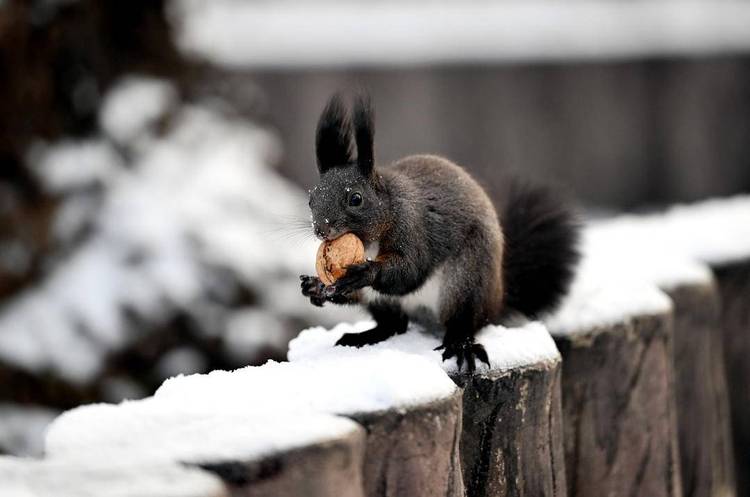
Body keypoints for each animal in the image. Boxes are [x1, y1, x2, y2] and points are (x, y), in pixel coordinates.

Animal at [300, 93, 580, 372]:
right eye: (311, 200)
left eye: (356, 199)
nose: (321, 229)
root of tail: (498, 300)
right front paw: (316, 286)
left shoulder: (412, 227)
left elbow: (410, 271)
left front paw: (366, 272)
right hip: (382, 301)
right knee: (394, 324)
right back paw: (364, 336)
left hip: (467, 280)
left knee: (462, 322)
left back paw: (460, 345)